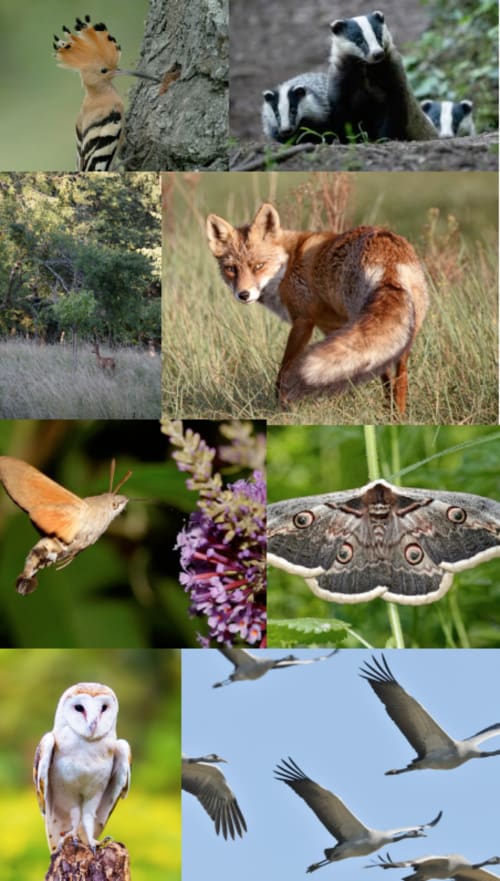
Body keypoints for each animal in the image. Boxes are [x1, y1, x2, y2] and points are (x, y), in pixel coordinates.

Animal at [206, 202, 429, 414]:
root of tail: (388, 259)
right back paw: (395, 415)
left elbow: (284, 370)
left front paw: (282, 407)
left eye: (258, 266)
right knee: (397, 376)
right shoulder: (333, 328)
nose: (243, 294)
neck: (288, 264)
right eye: (231, 269)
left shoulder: (303, 320)